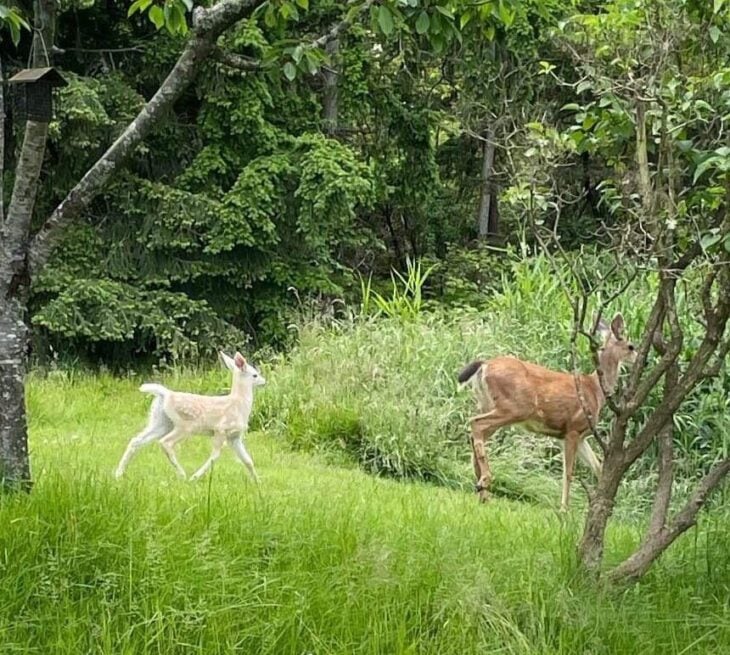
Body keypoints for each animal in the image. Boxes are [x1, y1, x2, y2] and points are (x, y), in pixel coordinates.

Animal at [458, 314, 636, 512]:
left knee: (476, 433)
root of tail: (484, 365)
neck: (596, 390)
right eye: (631, 346)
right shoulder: (573, 428)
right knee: (476, 423)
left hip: (488, 404)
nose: (639, 358)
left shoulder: (579, 435)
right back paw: (485, 481)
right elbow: (568, 472)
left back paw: (483, 493)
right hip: (515, 407)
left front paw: (604, 503)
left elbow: (597, 466)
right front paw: (564, 509)